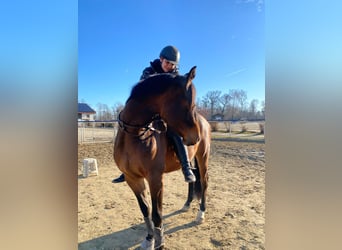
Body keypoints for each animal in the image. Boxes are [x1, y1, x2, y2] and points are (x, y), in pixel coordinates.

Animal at [113, 67, 210, 250]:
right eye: (188, 104)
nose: (196, 137)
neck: (134, 134)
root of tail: (204, 122)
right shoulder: (132, 179)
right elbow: (145, 210)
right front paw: (150, 239)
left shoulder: (155, 180)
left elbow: (157, 214)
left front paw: (160, 242)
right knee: (193, 178)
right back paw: (187, 204)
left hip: (203, 157)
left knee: (205, 181)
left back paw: (201, 214)